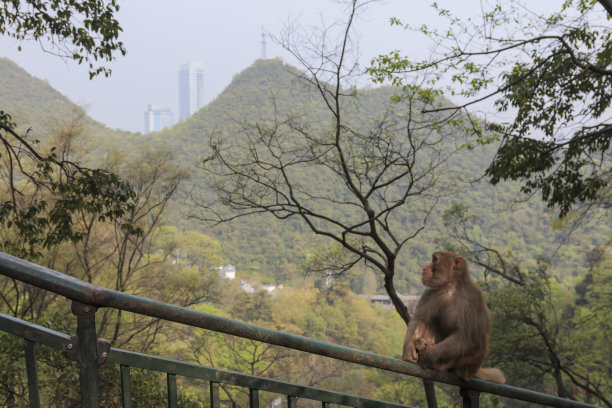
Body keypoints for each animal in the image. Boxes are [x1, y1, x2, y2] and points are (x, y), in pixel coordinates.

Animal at [400, 250, 504, 384]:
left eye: (435, 260)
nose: (424, 268)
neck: (452, 287)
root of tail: (471, 373)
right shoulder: (432, 292)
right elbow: (420, 320)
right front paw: (409, 348)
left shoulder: (473, 299)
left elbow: (468, 339)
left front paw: (428, 354)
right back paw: (418, 343)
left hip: (463, 367)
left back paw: (435, 362)